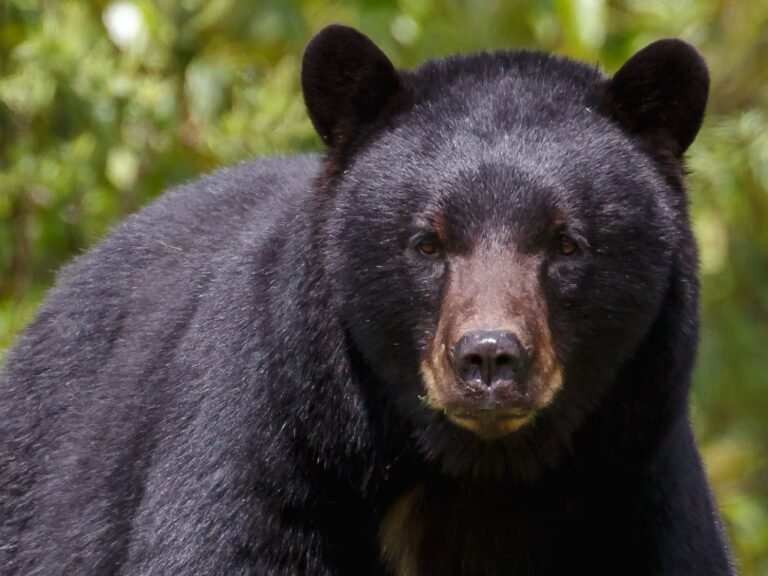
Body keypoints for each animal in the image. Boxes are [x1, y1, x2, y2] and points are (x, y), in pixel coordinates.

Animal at [0, 24, 735, 575]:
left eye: (567, 244)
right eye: (427, 242)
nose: (489, 359)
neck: (473, 479)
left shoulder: (637, 500)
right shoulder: (266, 449)